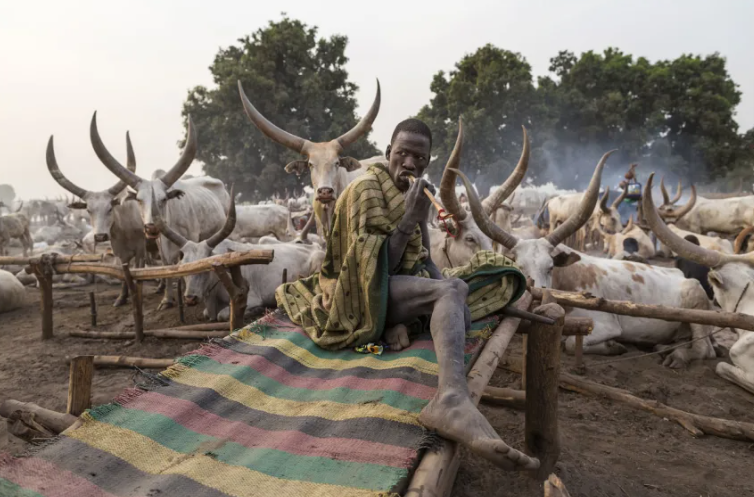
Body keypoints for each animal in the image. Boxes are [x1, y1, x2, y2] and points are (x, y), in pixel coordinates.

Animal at [45, 132, 145, 304]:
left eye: (110, 208)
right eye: (88, 210)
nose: (100, 236)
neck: (125, 227)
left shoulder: (140, 249)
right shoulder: (120, 252)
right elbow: (125, 273)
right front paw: (121, 297)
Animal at [90, 111, 228, 310]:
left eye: (164, 199)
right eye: (139, 200)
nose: (151, 227)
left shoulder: (192, 239)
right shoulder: (162, 244)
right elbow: (167, 265)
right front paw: (167, 299)